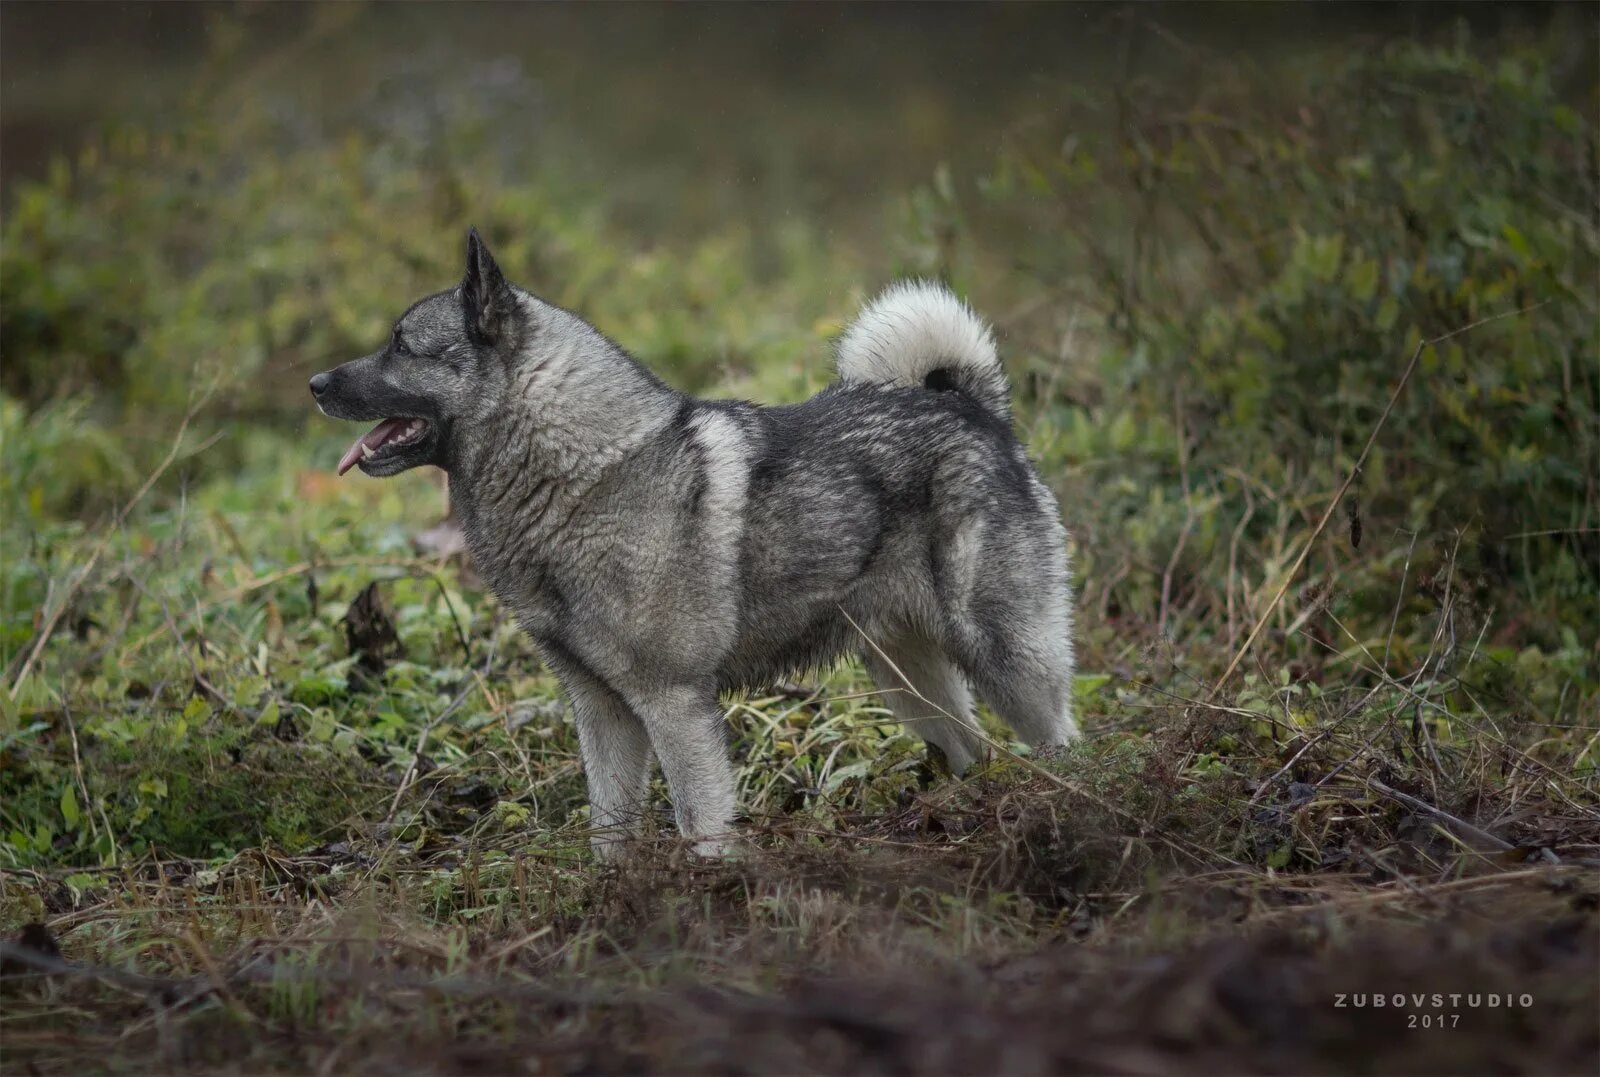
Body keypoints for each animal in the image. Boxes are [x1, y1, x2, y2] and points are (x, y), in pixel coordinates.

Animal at [308, 228, 1075, 857]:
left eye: (402, 345)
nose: (315, 382)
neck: (588, 474)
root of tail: (970, 408)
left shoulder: (674, 705)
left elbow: (701, 825)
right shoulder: (604, 711)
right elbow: (609, 830)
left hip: (1005, 654)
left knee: (1061, 738)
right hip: (906, 674)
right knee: (973, 748)